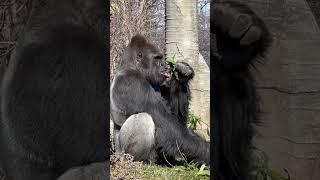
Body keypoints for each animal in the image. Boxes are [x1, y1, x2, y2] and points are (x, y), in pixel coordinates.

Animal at [110, 34, 210, 165]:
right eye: (157, 58)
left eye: (161, 58)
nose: (164, 65)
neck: (133, 67)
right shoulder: (133, 83)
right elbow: (167, 126)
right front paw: (206, 151)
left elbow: (176, 118)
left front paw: (182, 75)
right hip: (121, 155)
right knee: (144, 118)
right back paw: (140, 160)